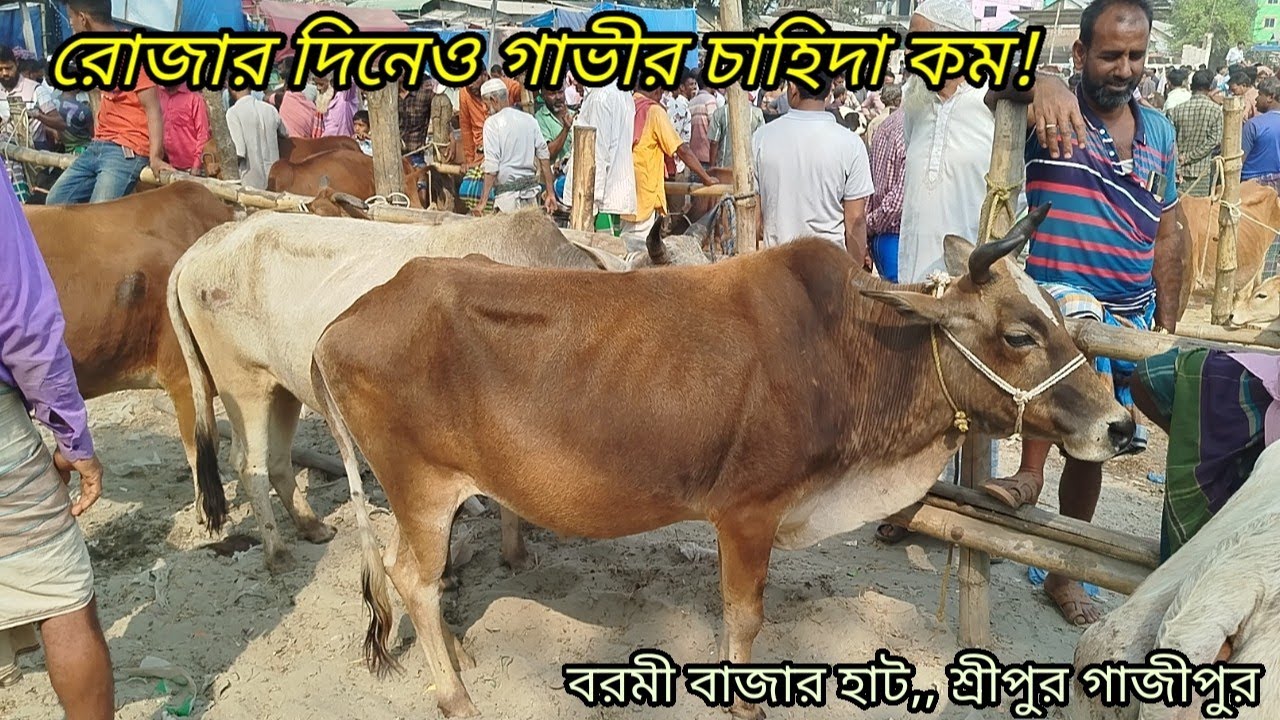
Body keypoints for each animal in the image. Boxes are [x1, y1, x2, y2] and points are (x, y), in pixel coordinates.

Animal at [167, 210, 710, 573]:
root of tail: (201, 247)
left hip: (283, 389)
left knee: (278, 461)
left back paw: (311, 527)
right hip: (244, 386)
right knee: (248, 464)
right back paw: (277, 552)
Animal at [307, 205, 1136, 719]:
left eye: (1065, 323)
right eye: (1021, 334)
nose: (1122, 425)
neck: (848, 347)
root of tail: (342, 321)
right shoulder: (747, 512)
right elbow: (744, 618)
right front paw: (743, 699)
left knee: (405, 576)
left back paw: (458, 652)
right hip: (420, 487)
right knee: (412, 579)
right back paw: (454, 694)